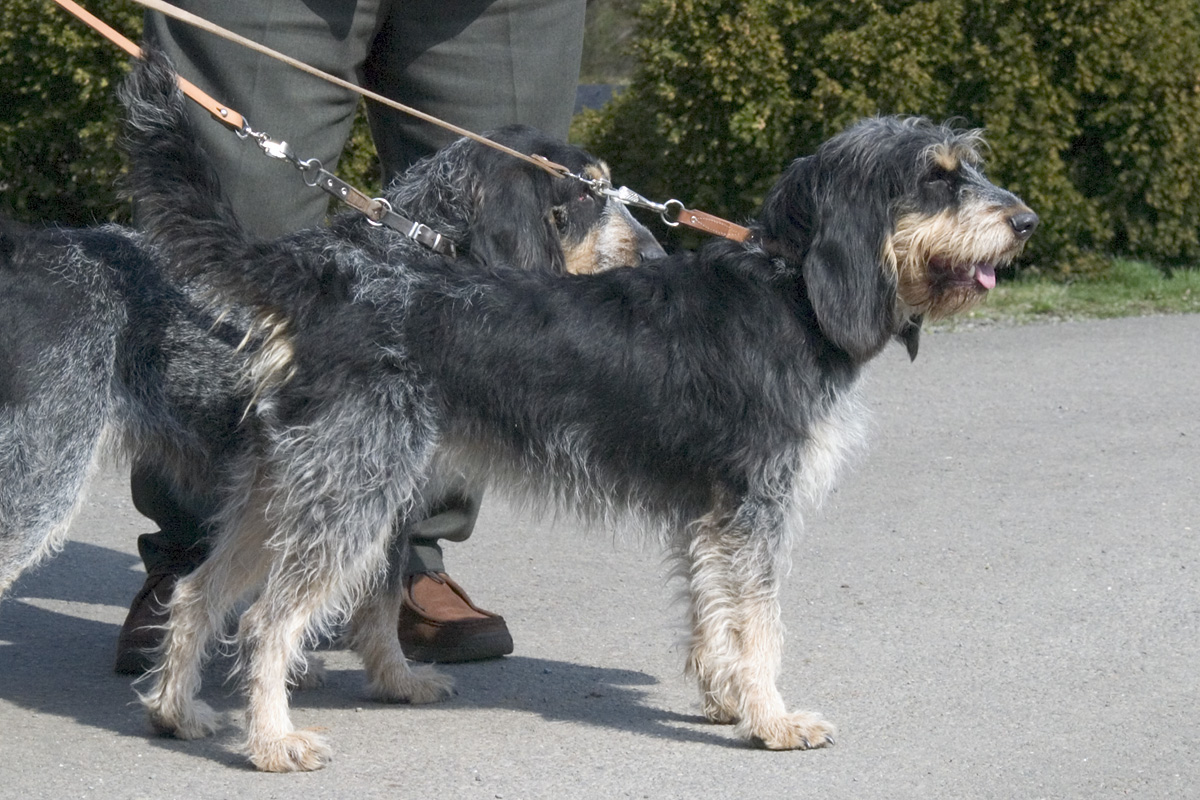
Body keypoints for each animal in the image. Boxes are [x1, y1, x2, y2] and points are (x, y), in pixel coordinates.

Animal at [124, 51, 1041, 767]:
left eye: (967, 169)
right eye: (937, 179)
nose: (1028, 222)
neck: (791, 287)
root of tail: (331, 284)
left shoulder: (712, 514)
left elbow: (713, 611)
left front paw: (725, 700)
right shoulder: (756, 508)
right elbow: (759, 622)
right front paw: (774, 719)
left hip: (291, 486)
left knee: (200, 590)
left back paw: (177, 710)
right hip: (354, 494)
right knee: (268, 618)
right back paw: (272, 743)